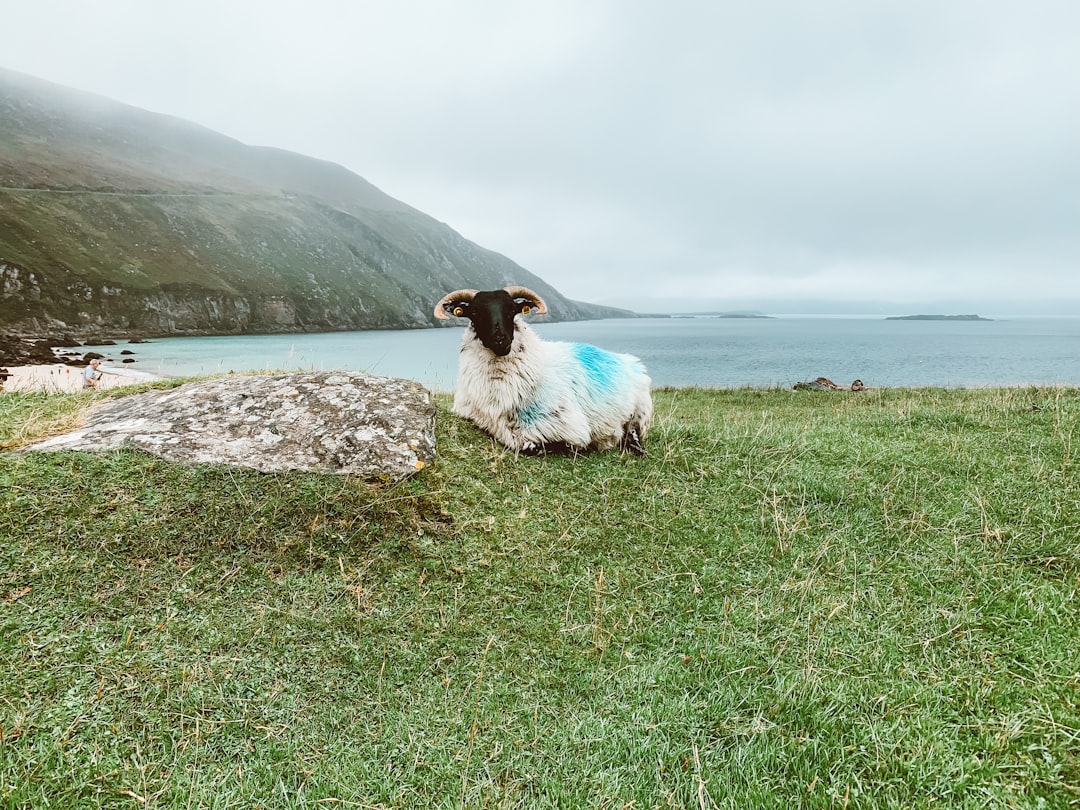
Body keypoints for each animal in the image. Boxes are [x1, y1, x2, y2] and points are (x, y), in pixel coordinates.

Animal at [434, 285, 653, 455]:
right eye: (475, 313)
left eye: (512, 310)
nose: (500, 339)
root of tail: (629, 359)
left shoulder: (571, 427)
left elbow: (540, 446)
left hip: (639, 411)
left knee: (633, 434)